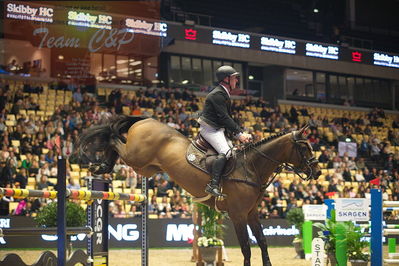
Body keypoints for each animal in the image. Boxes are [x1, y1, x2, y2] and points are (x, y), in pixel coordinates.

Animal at [77, 115, 322, 264]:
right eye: (304, 147)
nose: (318, 172)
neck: (251, 167)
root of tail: (146, 119)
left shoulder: (252, 213)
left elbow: (262, 242)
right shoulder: (238, 215)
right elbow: (246, 247)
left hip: (144, 167)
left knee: (115, 138)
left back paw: (102, 165)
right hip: (136, 157)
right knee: (112, 136)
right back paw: (100, 164)